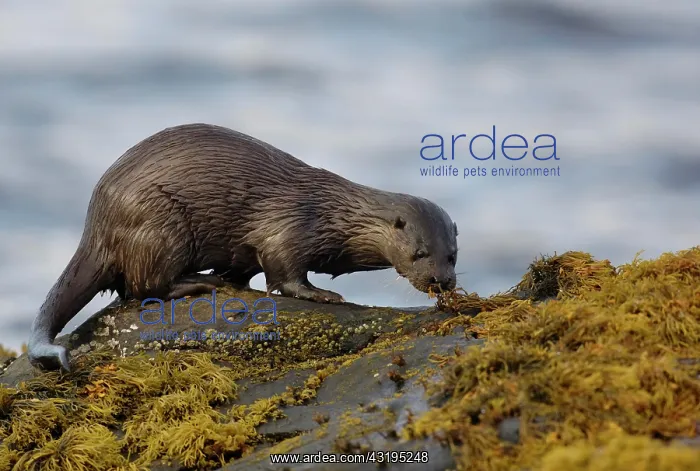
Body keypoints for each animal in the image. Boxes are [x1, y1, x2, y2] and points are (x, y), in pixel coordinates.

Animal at [28, 123, 459, 371]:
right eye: (419, 253)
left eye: (452, 255)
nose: (441, 281)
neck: (332, 216)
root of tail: (98, 221)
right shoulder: (289, 229)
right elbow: (285, 274)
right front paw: (324, 294)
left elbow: (249, 267)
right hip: (160, 225)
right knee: (144, 286)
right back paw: (200, 283)